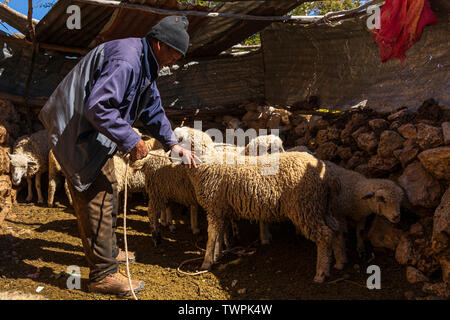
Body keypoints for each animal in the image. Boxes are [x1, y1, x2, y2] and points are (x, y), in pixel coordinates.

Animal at [185, 151, 338, 282]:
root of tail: (326, 176)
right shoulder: (219, 209)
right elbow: (219, 235)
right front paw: (217, 255)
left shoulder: (214, 208)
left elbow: (211, 237)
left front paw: (206, 263)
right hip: (321, 207)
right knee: (335, 230)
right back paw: (335, 264)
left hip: (305, 207)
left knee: (325, 236)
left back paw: (321, 273)